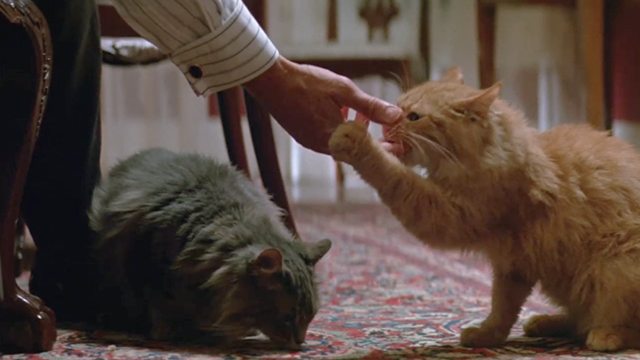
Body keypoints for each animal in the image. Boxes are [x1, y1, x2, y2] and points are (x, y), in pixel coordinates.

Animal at [330, 67, 640, 352]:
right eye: (397, 106)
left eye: (414, 117)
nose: (386, 126)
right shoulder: (512, 263)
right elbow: (503, 307)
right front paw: (488, 335)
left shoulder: (450, 215)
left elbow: (395, 175)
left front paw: (357, 140)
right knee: (578, 319)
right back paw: (546, 322)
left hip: (613, 266)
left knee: (615, 322)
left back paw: (606, 335)